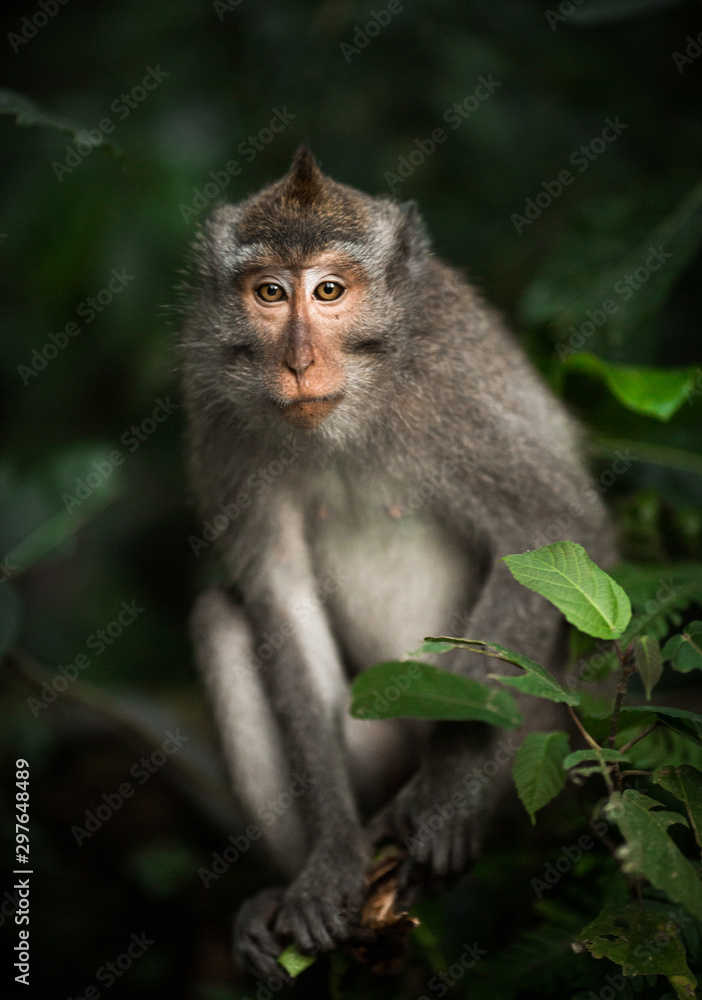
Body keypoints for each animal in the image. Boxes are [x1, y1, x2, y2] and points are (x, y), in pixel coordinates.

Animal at [180, 146, 613, 980]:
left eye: (331, 290)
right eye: (270, 292)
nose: (298, 361)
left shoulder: (452, 394)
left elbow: (550, 528)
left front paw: (445, 799)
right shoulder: (220, 422)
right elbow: (279, 602)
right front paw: (328, 864)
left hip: (551, 729)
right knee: (219, 617)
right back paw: (280, 895)